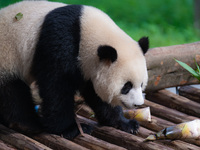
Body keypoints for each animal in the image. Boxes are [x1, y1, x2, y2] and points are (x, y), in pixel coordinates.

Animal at [0, 1, 148, 139]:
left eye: (141, 84)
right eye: (126, 86)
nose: (138, 104)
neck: (84, 29)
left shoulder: (86, 68)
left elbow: (96, 94)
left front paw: (126, 124)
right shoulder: (58, 41)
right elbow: (56, 87)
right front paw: (71, 129)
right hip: (7, 59)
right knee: (12, 92)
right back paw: (27, 124)